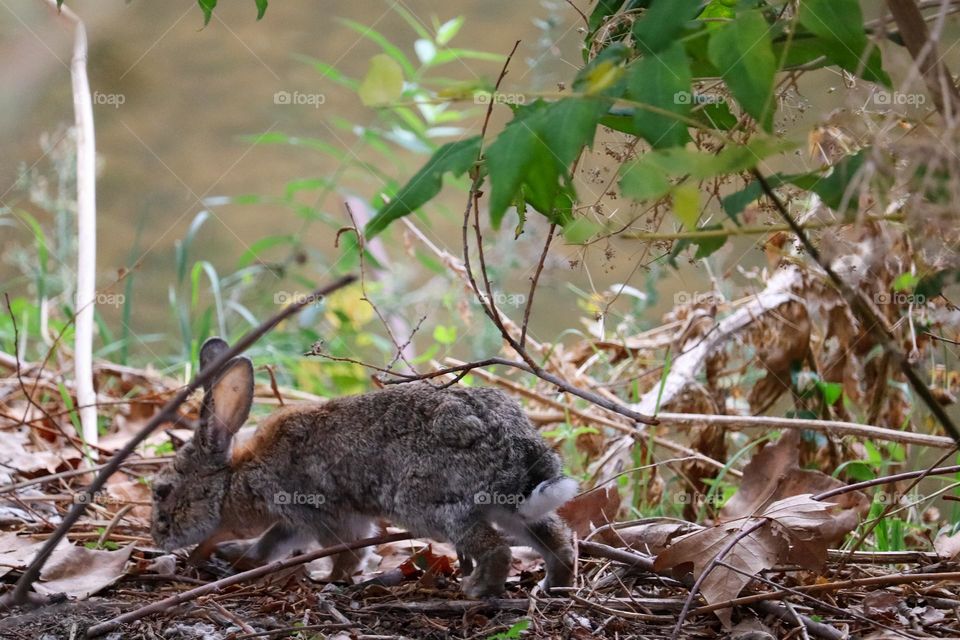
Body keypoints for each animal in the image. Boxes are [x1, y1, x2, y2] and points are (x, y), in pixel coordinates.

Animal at [152, 338, 576, 596]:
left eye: (162, 491)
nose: (158, 538)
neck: (235, 478)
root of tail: (518, 451)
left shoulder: (319, 514)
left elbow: (344, 551)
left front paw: (332, 580)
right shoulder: (294, 521)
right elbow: (271, 543)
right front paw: (242, 556)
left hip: (430, 506)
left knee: (495, 547)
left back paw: (476, 590)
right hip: (512, 509)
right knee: (557, 538)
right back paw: (554, 585)